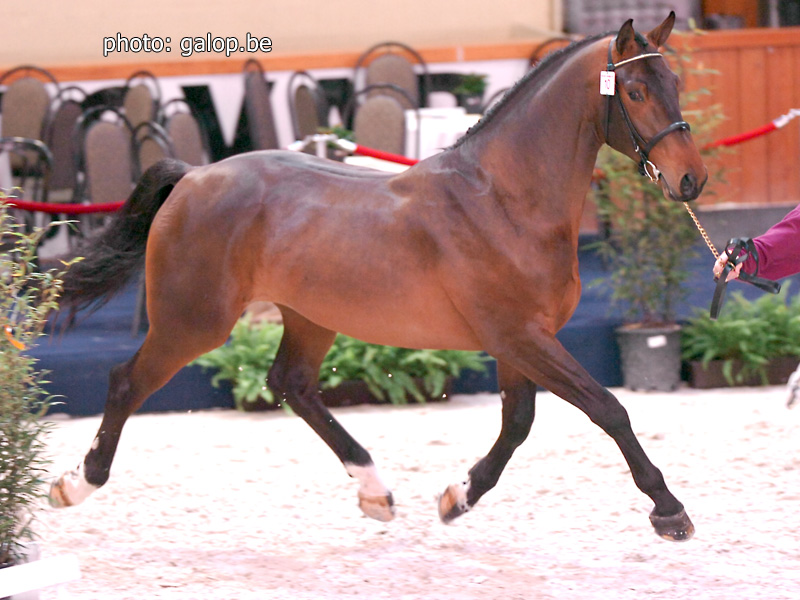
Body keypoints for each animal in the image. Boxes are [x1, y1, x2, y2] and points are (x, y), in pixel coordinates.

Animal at [49, 12, 706, 541]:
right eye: (636, 90)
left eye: (676, 85)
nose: (691, 180)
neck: (503, 199)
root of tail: (192, 177)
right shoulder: (521, 336)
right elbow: (607, 408)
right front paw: (669, 511)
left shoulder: (520, 340)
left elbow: (518, 423)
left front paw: (456, 499)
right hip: (193, 322)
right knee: (126, 382)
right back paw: (76, 485)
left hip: (308, 317)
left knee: (293, 385)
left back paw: (374, 491)